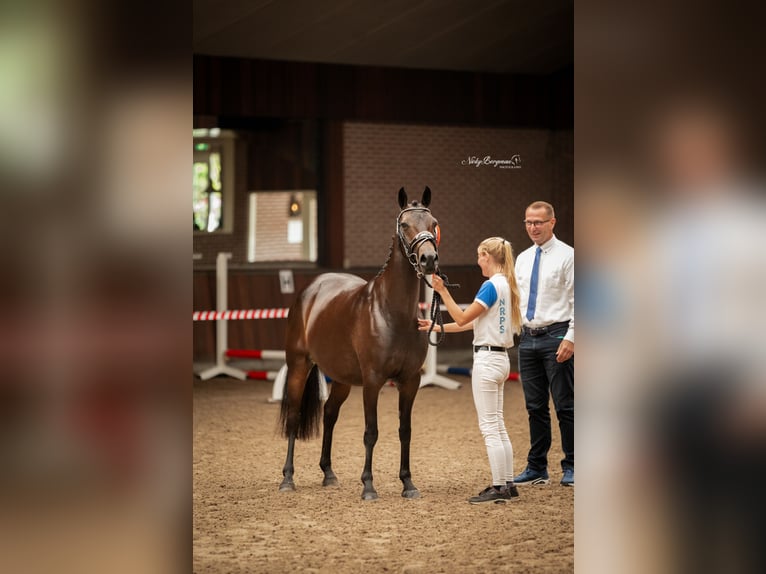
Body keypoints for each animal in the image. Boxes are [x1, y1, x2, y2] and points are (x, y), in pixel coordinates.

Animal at [280, 188, 438, 500]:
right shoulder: (373, 381)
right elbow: (371, 432)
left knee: (329, 414)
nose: (428, 259)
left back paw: (328, 473)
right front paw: (368, 486)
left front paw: (408, 483)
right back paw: (288, 479)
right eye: (404, 225)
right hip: (298, 367)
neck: (392, 313)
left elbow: (405, 430)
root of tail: (311, 290)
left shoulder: (410, 381)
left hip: (341, 379)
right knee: (293, 417)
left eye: (433, 223)